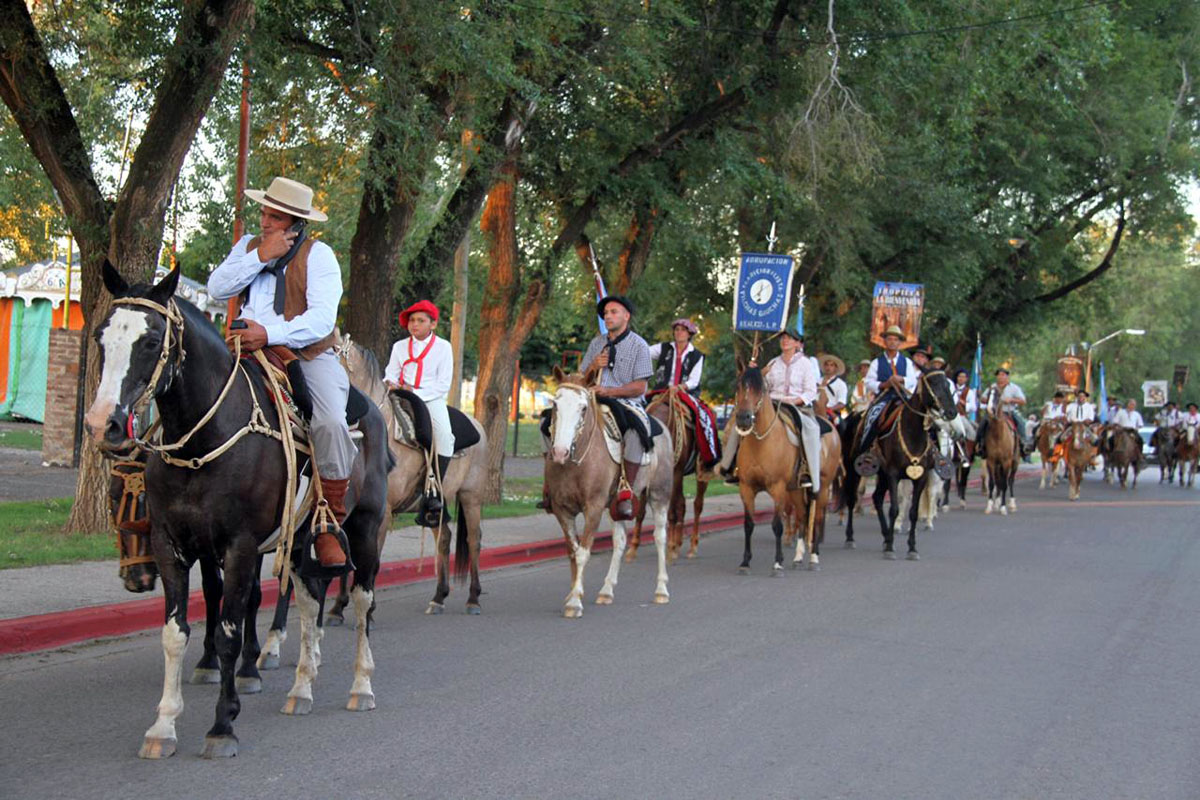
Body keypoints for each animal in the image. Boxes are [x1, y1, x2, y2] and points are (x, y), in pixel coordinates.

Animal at [85, 266, 393, 762]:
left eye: (150, 341)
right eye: (101, 336)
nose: (103, 425)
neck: (202, 439)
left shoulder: (240, 546)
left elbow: (231, 626)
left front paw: (222, 724)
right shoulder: (173, 546)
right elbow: (176, 633)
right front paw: (163, 725)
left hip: (365, 530)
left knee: (364, 601)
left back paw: (360, 686)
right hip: (302, 541)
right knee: (309, 602)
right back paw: (301, 689)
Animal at [544, 369, 676, 618]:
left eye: (583, 408)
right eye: (555, 404)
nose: (559, 452)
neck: (576, 463)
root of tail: (662, 427)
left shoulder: (593, 507)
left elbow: (583, 552)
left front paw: (574, 602)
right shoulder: (561, 509)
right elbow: (573, 551)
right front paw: (574, 593)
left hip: (659, 493)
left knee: (660, 536)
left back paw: (662, 590)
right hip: (616, 506)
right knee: (620, 541)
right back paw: (606, 591)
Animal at [840, 367, 960, 561]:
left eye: (948, 384)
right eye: (933, 383)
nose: (951, 412)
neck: (912, 432)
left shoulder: (920, 477)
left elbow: (913, 512)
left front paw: (911, 548)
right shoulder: (893, 474)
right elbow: (894, 509)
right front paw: (890, 547)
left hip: (880, 474)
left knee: (877, 498)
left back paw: (885, 536)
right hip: (853, 469)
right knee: (851, 498)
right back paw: (851, 538)